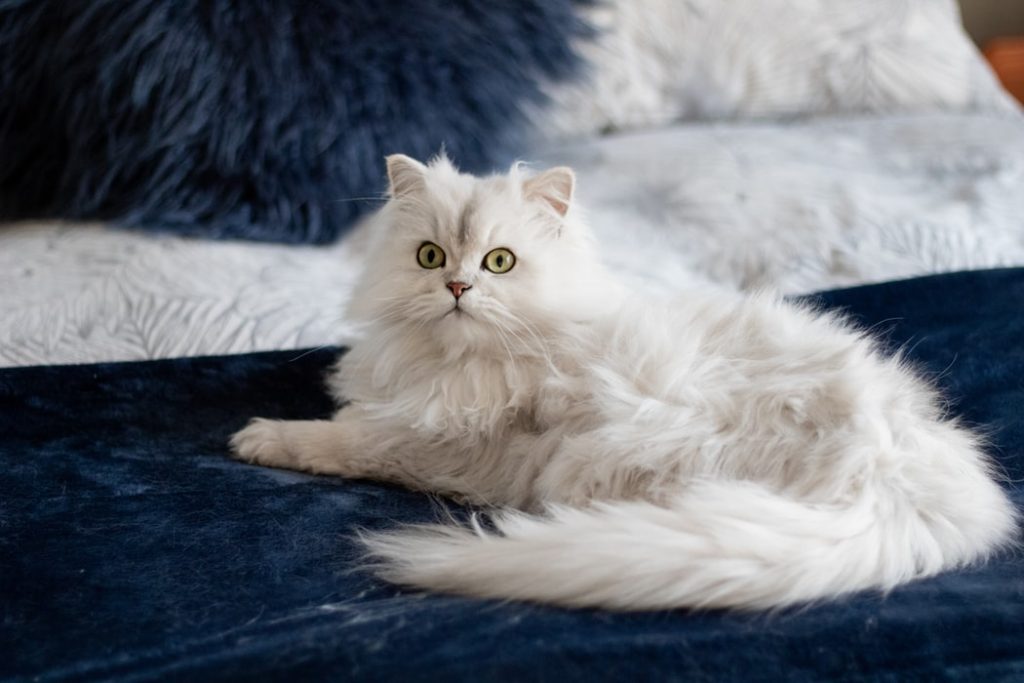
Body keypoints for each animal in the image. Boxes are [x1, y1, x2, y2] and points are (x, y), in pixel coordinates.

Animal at [230, 152, 1015, 610]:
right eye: (429, 256)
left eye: (499, 262)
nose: (456, 287)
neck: (464, 363)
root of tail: (902, 461)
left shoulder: (440, 446)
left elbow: (344, 439)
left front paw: (261, 437)